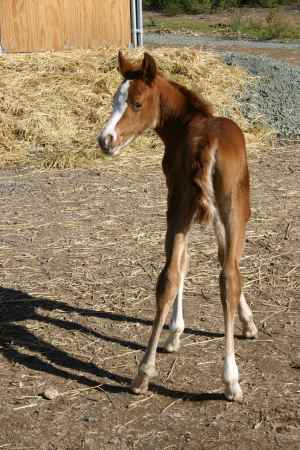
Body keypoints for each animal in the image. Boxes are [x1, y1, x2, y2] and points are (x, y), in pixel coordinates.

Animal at [98, 51, 258, 400]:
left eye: (136, 103)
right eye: (116, 100)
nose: (105, 140)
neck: (187, 123)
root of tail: (207, 142)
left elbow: (197, 262)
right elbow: (219, 261)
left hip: (185, 206)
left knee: (171, 276)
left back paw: (143, 374)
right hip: (217, 208)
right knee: (226, 277)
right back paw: (230, 379)